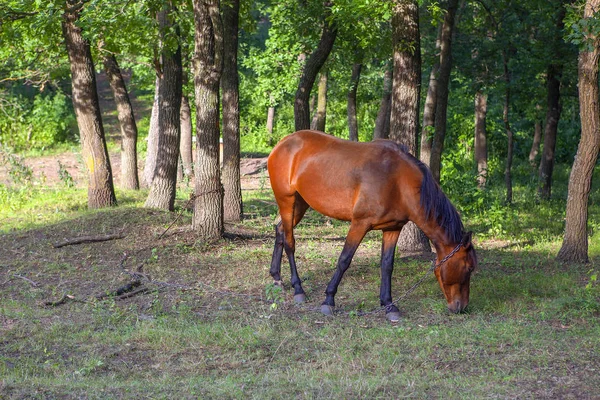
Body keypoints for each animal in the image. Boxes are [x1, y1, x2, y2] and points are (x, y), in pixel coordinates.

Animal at [268, 131, 478, 322]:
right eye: (468, 268)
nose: (461, 307)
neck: (398, 181)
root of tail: (283, 143)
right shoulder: (359, 224)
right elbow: (344, 260)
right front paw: (328, 300)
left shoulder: (392, 228)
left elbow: (387, 265)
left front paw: (389, 305)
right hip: (287, 201)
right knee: (289, 242)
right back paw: (298, 289)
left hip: (300, 204)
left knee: (279, 230)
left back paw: (277, 278)